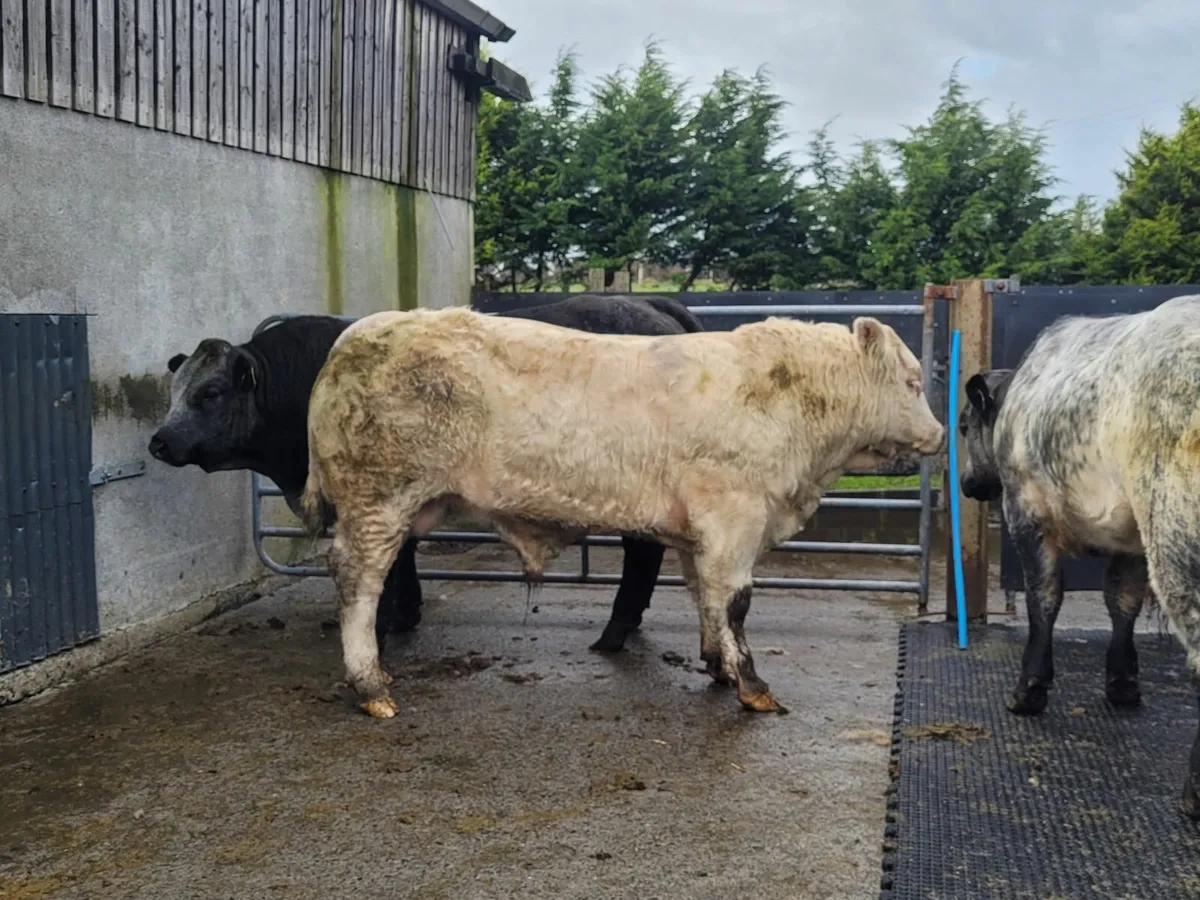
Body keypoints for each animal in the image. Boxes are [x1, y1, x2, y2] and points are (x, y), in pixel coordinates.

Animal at [147, 293, 705, 656]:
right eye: (173, 390)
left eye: (210, 393)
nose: (159, 441)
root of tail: (650, 305)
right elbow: (404, 555)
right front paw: (405, 614)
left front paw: (382, 625)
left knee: (642, 551)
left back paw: (615, 631)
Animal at [298, 307, 944, 720]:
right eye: (914, 381)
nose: (940, 435)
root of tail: (352, 336)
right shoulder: (735, 517)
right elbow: (735, 602)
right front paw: (754, 686)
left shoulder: (700, 531)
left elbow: (706, 598)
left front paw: (718, 665)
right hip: (377, 500)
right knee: (358, 583)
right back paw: (371, 684)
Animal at [958, 292, 1200, 820]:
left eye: (964, 424)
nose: (966, 483)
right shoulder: (1131, 539)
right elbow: (1121, 601)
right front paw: (1123, 682)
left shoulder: (1027, 513)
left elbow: (1044, 597)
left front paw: (1029, 689)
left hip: (1175, 542)